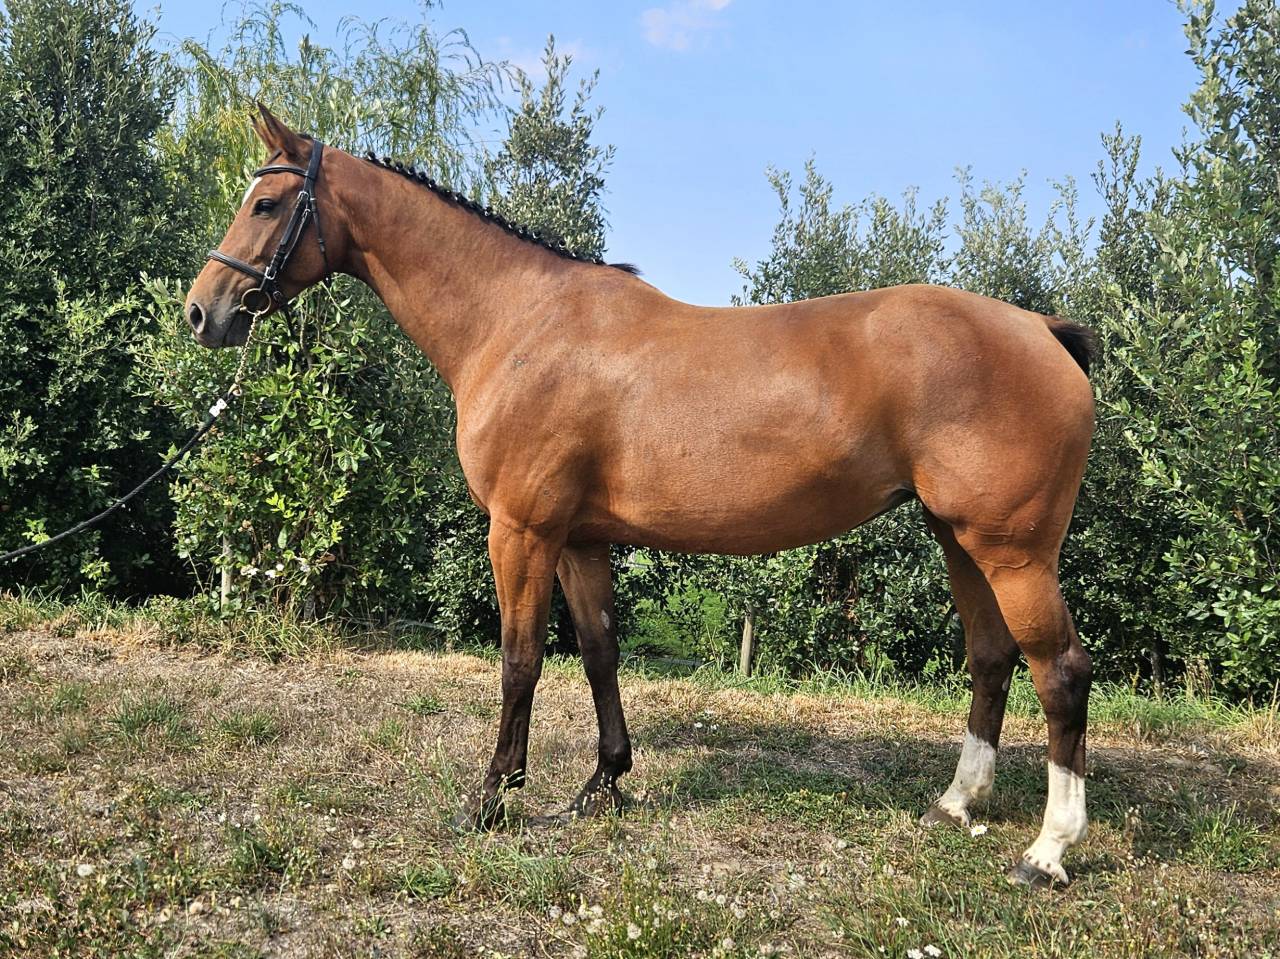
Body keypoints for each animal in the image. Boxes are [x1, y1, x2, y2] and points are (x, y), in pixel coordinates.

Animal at [185, 106, 1096, 888]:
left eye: (266, 202)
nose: (203, 312)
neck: (518, 322)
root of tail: (1042, 329)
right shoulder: (579, 538)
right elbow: (598, 653)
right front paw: (603, 785)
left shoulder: (521, 531)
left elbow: (519, 661)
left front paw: (492, 799)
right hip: (958, 537)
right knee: (991, 658)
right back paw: (956, 802)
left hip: (1013, 551)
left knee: (1060, 672)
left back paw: (1047, 851)